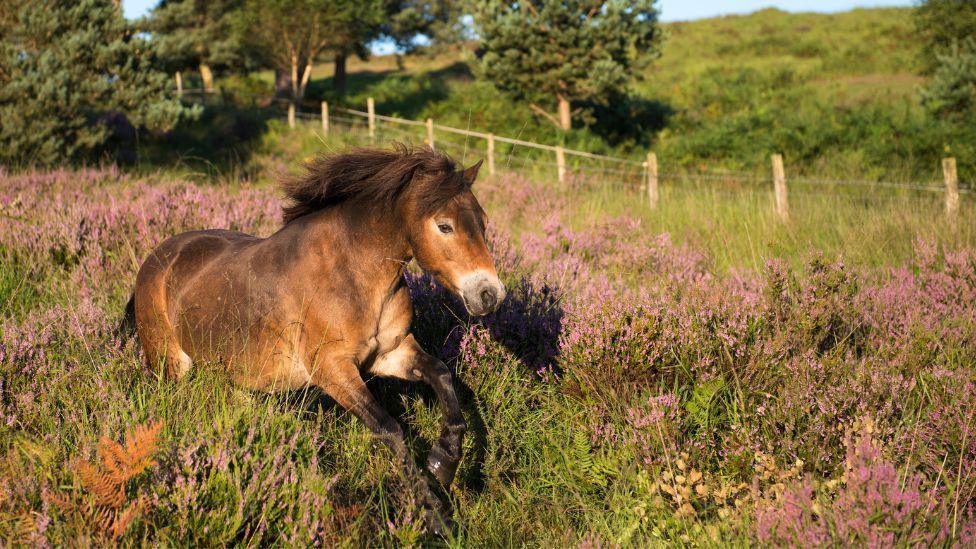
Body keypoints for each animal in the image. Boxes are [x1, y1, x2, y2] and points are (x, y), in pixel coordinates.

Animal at [124, 142, 504, 532]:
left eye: (483, 222)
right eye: (444, 226)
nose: (490, 294)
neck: (353, 273)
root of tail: (157, 258)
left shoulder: (390, 353)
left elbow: (441, 375)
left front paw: (444, 461)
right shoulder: (333, 370)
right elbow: (389, 428)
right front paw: (435, 514)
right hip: (171, 365)